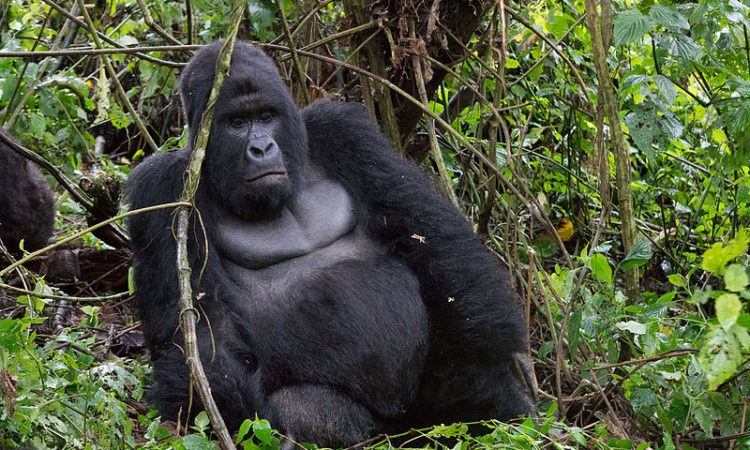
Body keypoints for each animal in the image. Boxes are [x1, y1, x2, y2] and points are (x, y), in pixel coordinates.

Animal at [131, 41, 540, 446]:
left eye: (266, 117)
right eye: (236, 123)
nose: (261, 148)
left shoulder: (342, 130)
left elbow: (430, 238)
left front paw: (477, 363)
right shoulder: (162, 189)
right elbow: (200, 335)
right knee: (305, 408)